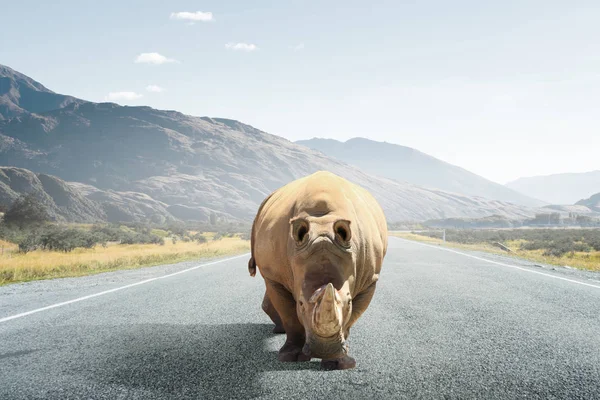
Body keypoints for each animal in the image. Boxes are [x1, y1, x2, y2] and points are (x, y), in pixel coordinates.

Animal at [246, 170, 386, 370]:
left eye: (349, 302)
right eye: (301, 303)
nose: (324, 350)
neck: (322, 225)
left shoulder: (369, 280)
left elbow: (350, 319)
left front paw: (338, 362)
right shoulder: (274, 275)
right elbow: (290, 315)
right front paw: (290, 357)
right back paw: (279, 330)